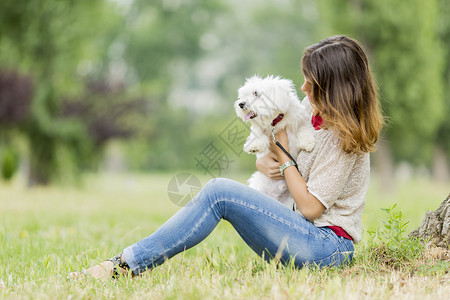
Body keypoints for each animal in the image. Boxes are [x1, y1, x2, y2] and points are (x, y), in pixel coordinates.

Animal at [234, 75, 314, 209]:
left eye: (255, 93)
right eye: (243, 95)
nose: (241, 104)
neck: (276, 121)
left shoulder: (302, 120)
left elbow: (305, 129)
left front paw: (307, 142)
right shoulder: (259, 128)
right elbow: (257, 133)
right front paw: (255, 145)